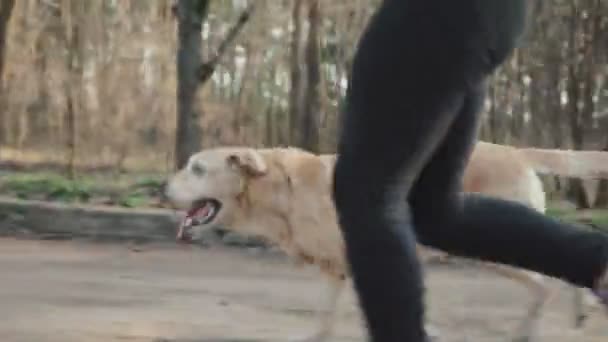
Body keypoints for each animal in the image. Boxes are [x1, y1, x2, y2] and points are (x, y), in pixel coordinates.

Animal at [166, 143, 608, 340]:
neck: (279, 188)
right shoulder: (335, 270)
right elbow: (323, 319)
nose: (162, 189)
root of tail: (515, 150)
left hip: (494, 251)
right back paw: (580, 308)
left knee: (546, 282)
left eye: (197, 168)